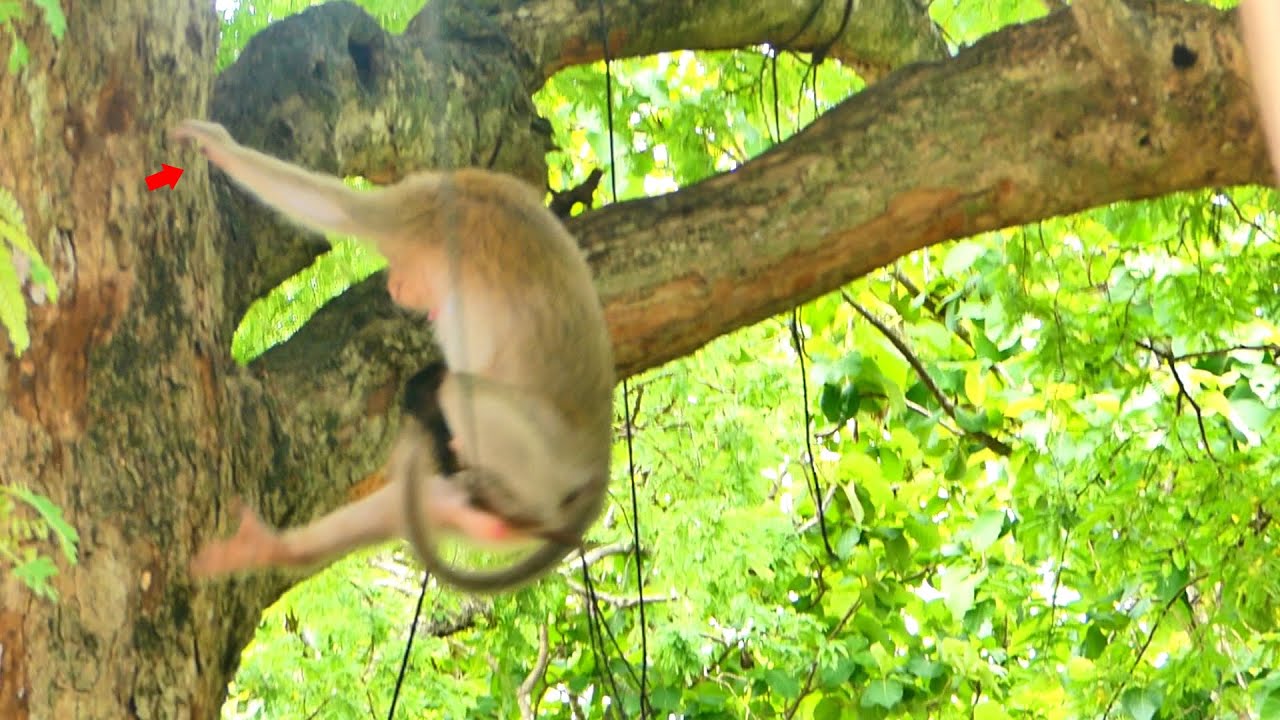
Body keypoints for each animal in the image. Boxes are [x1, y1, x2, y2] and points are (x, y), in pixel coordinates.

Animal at [173, 119, 615, 592]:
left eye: (392, 255)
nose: (393, 286)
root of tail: (598, 461)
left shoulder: (416, 210)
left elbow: (336, 207)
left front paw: (220, 147)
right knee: (434, 490)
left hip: (552, 456)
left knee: (457, 393)